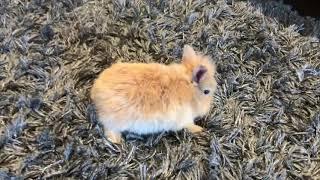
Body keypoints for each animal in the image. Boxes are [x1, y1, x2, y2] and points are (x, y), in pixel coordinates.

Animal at [91, 45, 219, 143]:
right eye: (206, 92)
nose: (208, 109)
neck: (190, 91)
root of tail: (95, 92)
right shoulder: (184, 119)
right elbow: (190, 126)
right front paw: (200, 129)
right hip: (115, 122)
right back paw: (117, 141)